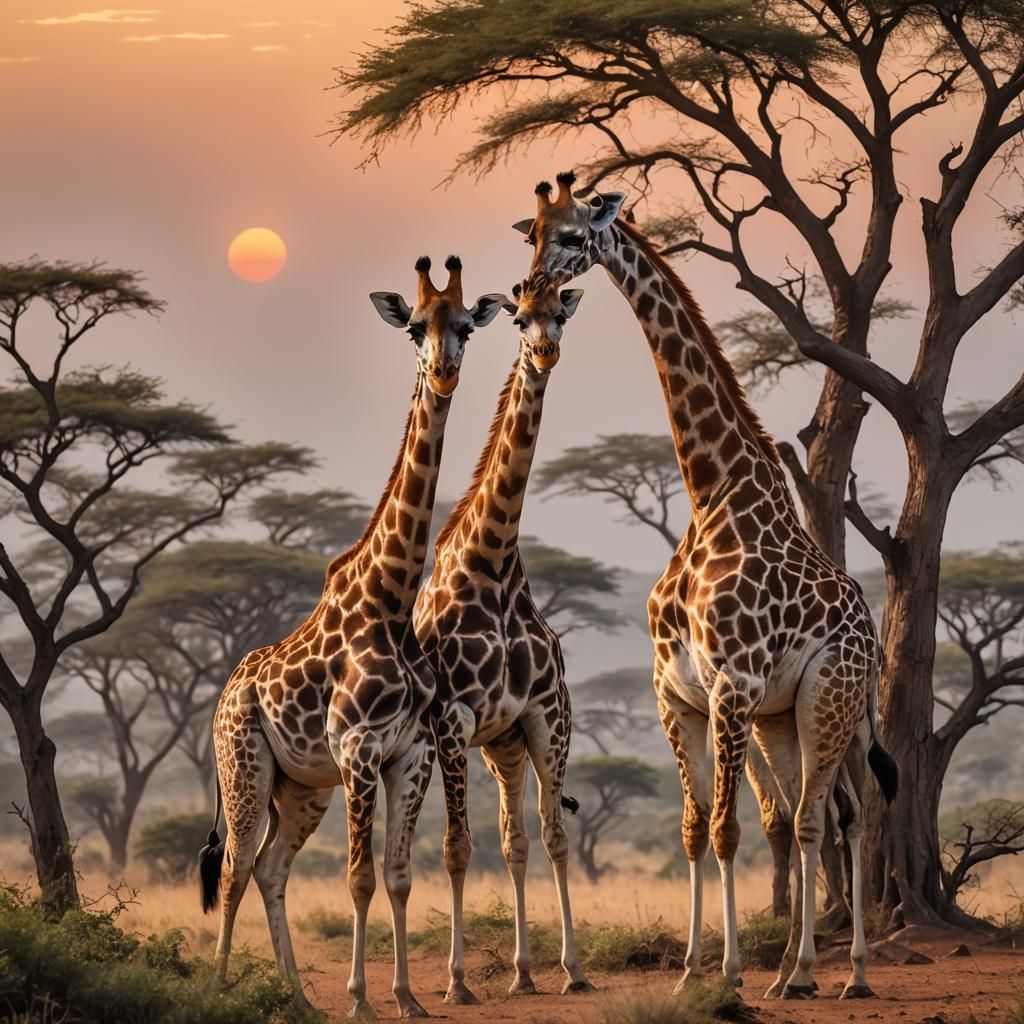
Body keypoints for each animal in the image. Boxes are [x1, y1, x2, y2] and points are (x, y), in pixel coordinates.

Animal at [199, 255, 508, 1020]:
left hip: (302, 786)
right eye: (414, 328)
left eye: (466, 326)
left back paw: (296, 997)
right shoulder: (359, 748)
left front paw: (406, 997)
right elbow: (359, 878)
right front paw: (362, 999)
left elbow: (395, 875)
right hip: (245, 764)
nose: (444, 370)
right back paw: (220, 989)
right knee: (236, 867)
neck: (392, 601)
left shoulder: (410, 752)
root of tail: (222, 696)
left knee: (272, 869)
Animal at [512, 173, 897, 1000]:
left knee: (832, 817)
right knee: (816, 816)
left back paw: (833, 972)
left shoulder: (732, 686)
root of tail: (873, 642)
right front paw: (691, 969)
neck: (711, 489)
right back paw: (797, 970)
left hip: (829, 700)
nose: (531, 294)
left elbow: (727, 829)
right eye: (533, 233)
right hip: (784, 717)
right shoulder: (676, 693)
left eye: (573, 236)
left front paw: (727, 973)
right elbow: (693, 830)